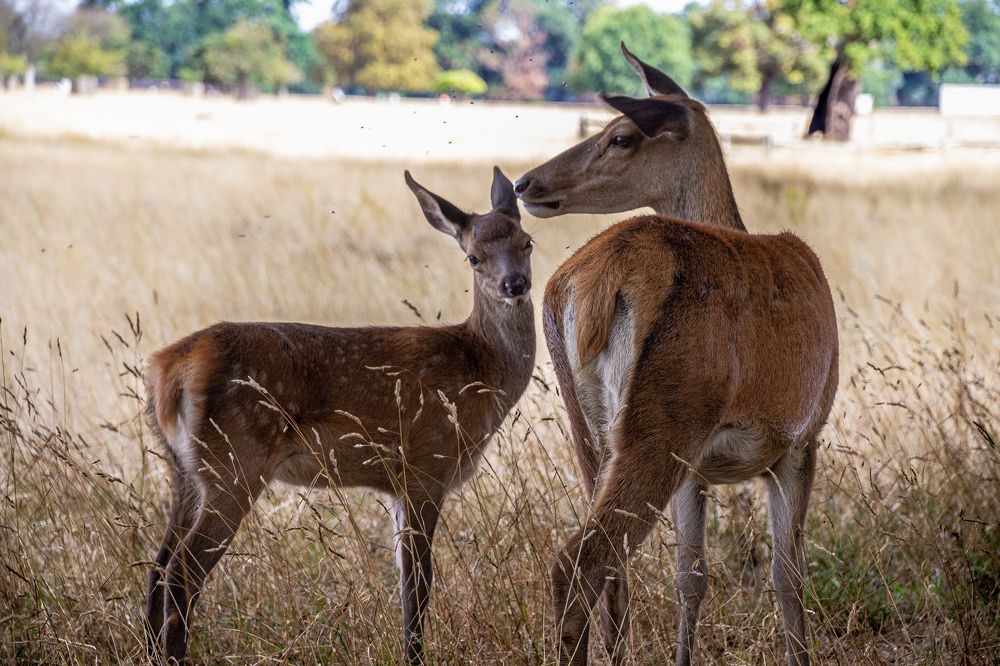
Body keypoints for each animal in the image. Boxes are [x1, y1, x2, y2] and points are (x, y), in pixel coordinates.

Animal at [142, 168, 536, 665]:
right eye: (473, 257)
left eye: (527, 242)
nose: (515, 285)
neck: (477, 369)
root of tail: (166, 369)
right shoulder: (425, 468)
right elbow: (418, 587)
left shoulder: (397, 485)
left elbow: (405, 586)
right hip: (233, 464)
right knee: (182, 573)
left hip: (184, 471)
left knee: (157, 571)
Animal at [514, 44, 838, 666]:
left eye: (621, 136)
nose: (523, 183)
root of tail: (592, 285)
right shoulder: (802, 436)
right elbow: (788, 575)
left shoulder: (699, 467)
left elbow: (692, 576)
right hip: (665, 416)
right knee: (579, 562)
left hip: (591, 430)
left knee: (612, 572)